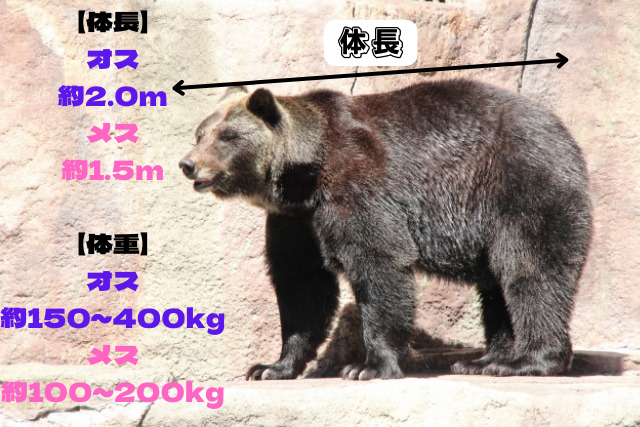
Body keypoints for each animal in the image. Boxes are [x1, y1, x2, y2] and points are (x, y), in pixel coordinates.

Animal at [179, 79, 592, 380]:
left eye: (227, 137)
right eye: (200, 133)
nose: (188, 164)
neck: (305, 179)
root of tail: (563, 132)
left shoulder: (359, 187)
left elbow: (378, 263)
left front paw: (368, 366)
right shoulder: (296, 222)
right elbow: (302, 286)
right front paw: (271, 366)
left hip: (519, 187)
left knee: (531, 269)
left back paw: (527, 360)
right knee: (496, 286)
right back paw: (483, 359)